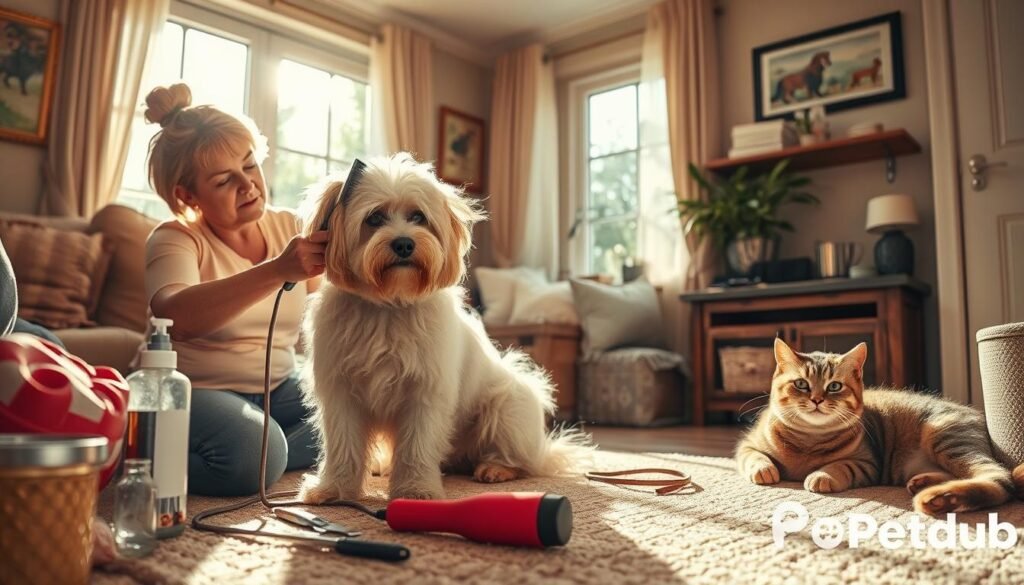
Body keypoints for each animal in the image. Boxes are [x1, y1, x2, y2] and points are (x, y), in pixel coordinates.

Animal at [299, 155, 589, 504]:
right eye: (374, 218)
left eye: (418, 217)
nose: (404, 244)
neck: (388, 306)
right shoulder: (341, 392)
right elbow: (343, 447)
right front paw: (335, 489)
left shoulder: (425, 393)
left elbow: (416, 446)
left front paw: (415, 491)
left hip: (509, 403)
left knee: (523, 462)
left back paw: (496, 468)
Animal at [737, 338, 1024, 516]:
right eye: (801, 384)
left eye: (834, 386)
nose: (817, 399)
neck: (808, 441)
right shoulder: (746, 445)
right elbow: (754, 456)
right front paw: (764, 469)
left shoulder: (866, 463)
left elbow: (840, 466)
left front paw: (822, 475)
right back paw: (922, 484)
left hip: (946, 437)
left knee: (999, 480)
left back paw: (938, 498)